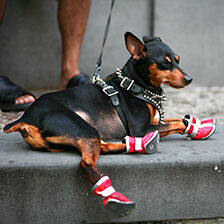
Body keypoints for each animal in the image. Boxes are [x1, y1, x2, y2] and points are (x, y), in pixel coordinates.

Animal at [3, 32, 215, 217]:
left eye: (178, 59)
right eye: (165, 62)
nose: (189, 79)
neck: (135, 85)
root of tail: (25, 119)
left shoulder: (152, 123)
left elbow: (176, 119)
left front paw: (199, 127)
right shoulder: (140, 128)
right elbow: (178, 122)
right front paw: (194, 127)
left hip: (84, 134)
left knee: (102, 148)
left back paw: (133, 145)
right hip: (82, 127)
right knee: (87, 163)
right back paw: (116, 198)